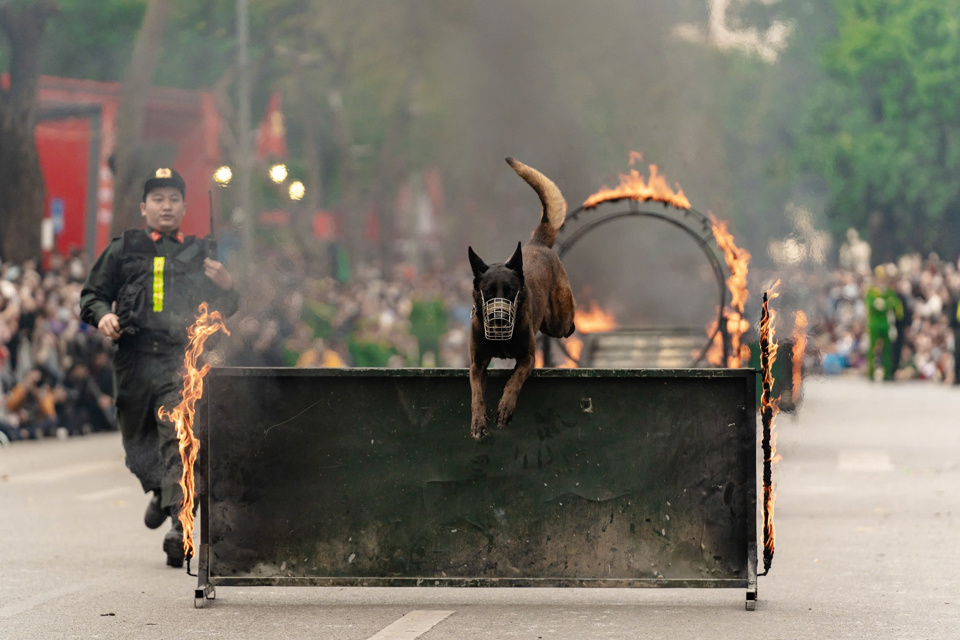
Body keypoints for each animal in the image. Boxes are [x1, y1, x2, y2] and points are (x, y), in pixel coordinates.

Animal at [466, 158, 572, 442]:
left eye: (511, 290)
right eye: (489, 292)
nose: (499, 320)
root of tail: (537, 243)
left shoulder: (528, 358)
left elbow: (513, 382)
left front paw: (505, 408)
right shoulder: (477, 363)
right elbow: (476, 394)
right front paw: (478, 422)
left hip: (558, 320)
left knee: (566, 325)